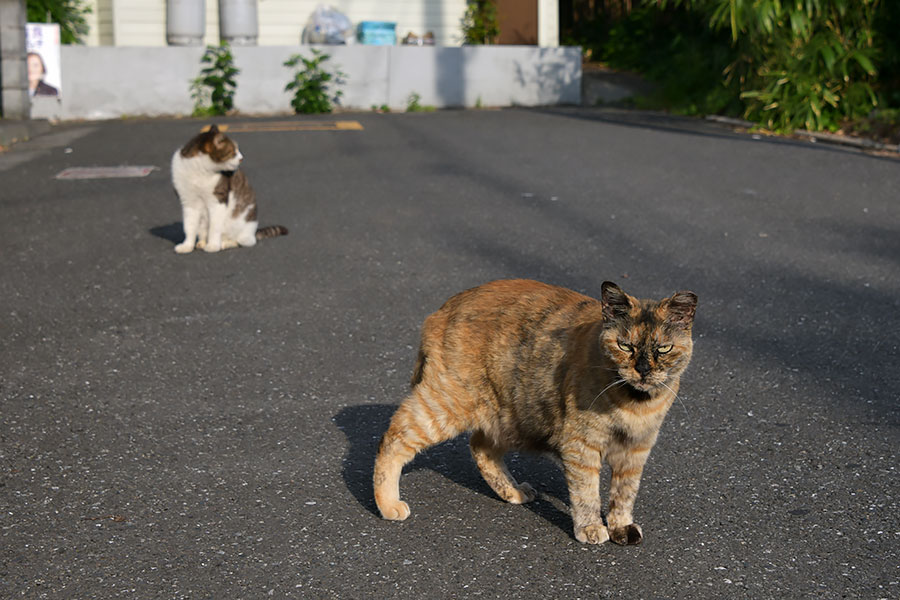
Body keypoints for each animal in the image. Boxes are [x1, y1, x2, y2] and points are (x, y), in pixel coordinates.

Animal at [172, 123, 288, 252]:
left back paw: (225, 244)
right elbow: (189, 226)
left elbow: (214, 227)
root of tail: (254, 233)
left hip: (243, 229)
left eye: (238, 150)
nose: (242, 158)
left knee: (242, 241)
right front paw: (187, 246)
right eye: (233, 151)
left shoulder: (218, 201)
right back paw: (201, 242)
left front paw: (213, 245)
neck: (200, 171)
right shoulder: (188, 202)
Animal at [372, 278, 696, 548]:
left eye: (664, 349)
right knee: (393, 438)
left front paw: (621, 527)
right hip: (447, 404)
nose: (643, 370)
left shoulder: (636, 450)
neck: (635, 403)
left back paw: (513, 491)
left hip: (513, 412)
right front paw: (590, 527)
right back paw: (388, 505)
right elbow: (586, 491)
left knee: (480, 446)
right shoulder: (581, 445)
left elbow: (624, 493)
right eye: (625, 346)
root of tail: (441, 310)